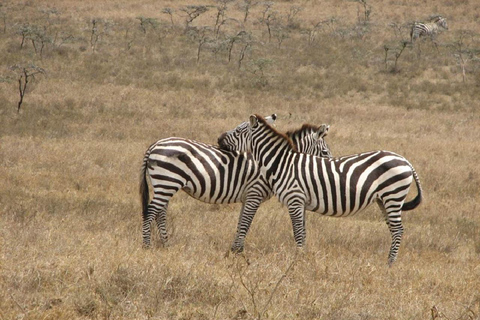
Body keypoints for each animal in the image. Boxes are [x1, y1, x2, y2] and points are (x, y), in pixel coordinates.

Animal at [141, 114, 332, 251]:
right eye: (324, 152)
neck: (277, 160)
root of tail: (154, 144)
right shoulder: (254, 193)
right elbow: (246, 222)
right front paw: (238, 251)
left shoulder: (247, 197)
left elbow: (241, 221)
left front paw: (234, 248)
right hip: (167, 182)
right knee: (151, 211)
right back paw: (146, 246)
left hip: (165, 184)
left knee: (160, 212)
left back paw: (165, 244)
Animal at [218, 114, 424, 266]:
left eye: (238, 130)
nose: (219, 139)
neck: (282, 163)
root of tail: (405, 160)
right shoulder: (301, 202)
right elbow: (303, 232)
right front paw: (303, 257)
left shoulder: (294, 199)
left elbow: (297, 233)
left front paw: (298, 260)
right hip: (384, 200)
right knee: (393, 229)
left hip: (393, 195)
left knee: (398, 230)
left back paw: (390, 264)